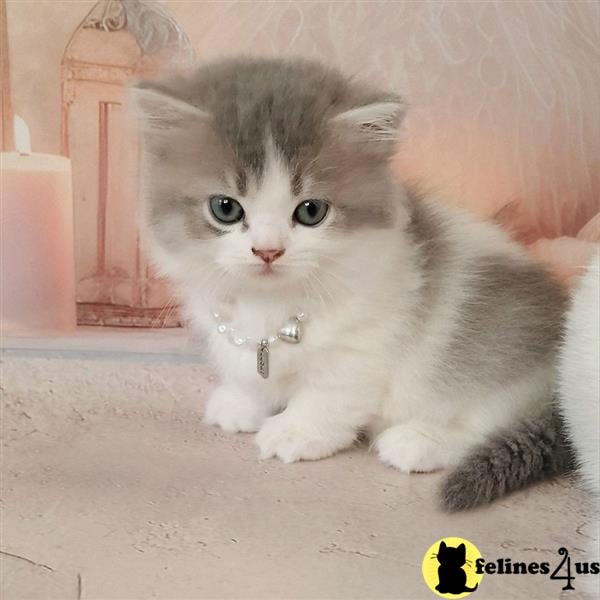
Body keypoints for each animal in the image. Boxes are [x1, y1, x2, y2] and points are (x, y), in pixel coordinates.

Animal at [131, 56, 572, 508]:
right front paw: (241, 403)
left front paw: (296, 431)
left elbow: (329, 392)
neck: (270, 302)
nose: (268, 251)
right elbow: (250, 373)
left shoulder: (365, 342)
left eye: (311, 211)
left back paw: (418, 440)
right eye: (225, 208)